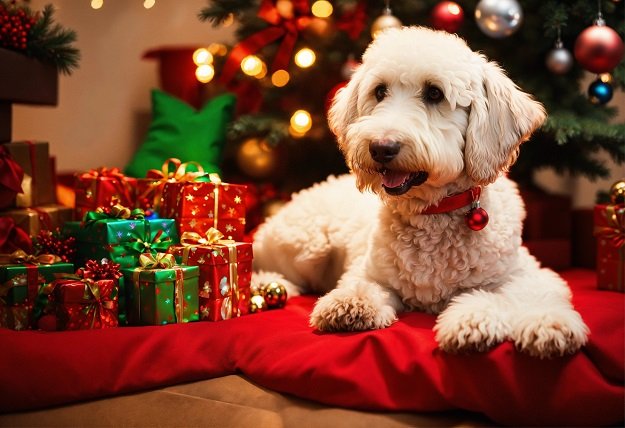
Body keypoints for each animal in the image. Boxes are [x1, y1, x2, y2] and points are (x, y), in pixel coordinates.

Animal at [251, 26, 588, 358]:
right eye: (380, 92)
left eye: (435, 93)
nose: (381, 147)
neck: (433, 212)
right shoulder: (368, 271)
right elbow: (364, 286)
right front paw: (350, 303)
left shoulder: (530, 274)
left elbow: (511, 295)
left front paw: (531, 324)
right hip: (306, 244)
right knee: (267, 264)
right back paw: (269, 284)